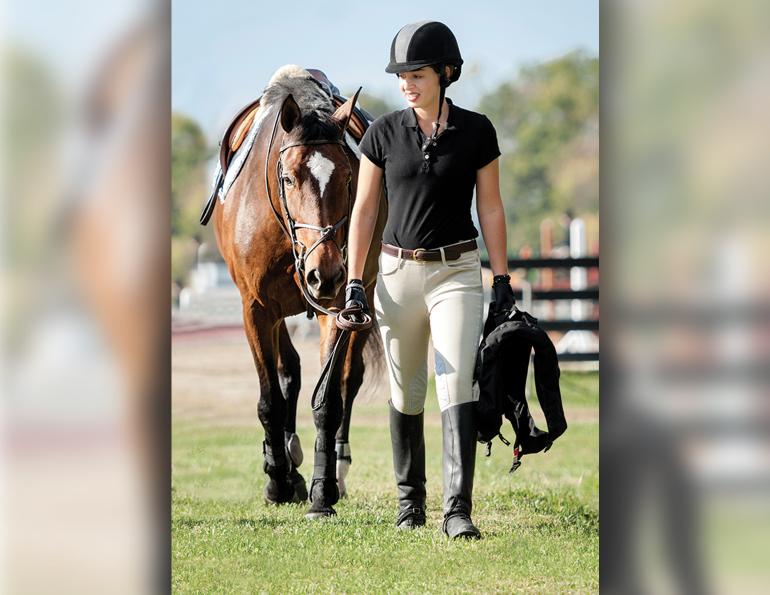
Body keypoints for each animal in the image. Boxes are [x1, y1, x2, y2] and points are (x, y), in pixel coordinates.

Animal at [211, 66, 387, 518]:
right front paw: (278, 480)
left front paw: (322, 493)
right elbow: (270, 398)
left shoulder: (340, 307)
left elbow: (328, 401)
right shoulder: (256, 310)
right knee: (287, 371)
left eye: (348, 178)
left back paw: (336, 469)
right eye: (288, 178)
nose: (322, 273)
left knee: (348, 381)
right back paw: (286, 464)